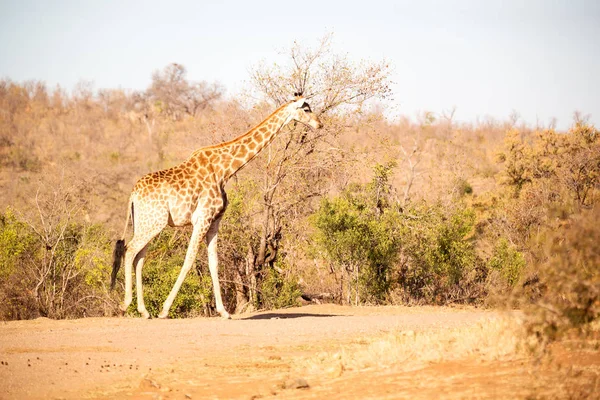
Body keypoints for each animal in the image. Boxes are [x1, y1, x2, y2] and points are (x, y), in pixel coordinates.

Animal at [109, 94, 322, 318]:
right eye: (306, 109)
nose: (320, 124)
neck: (224, 170)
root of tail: (133, 194)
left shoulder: (214, 220)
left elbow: (214, 262)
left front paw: (224, 312)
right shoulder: (202, 218)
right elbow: (189, 259)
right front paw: (165, 310)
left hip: (146, 223)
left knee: (139, 256)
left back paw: (144, 311)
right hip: (154, 222)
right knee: (130, 250)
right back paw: (126, 304)